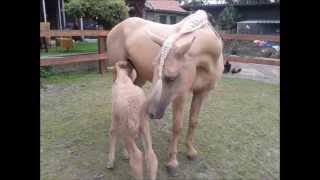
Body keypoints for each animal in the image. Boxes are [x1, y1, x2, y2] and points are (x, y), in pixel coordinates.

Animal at [106, 9, 224, 176]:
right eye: (154, 67)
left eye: (171, 77)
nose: (150, 112)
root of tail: (117, 26)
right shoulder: (180, 95)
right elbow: (177, 126)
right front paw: (172, 162)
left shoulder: (202, 92)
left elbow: (193, 121)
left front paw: (190, 151)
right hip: (118, 73)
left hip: (138, 77)